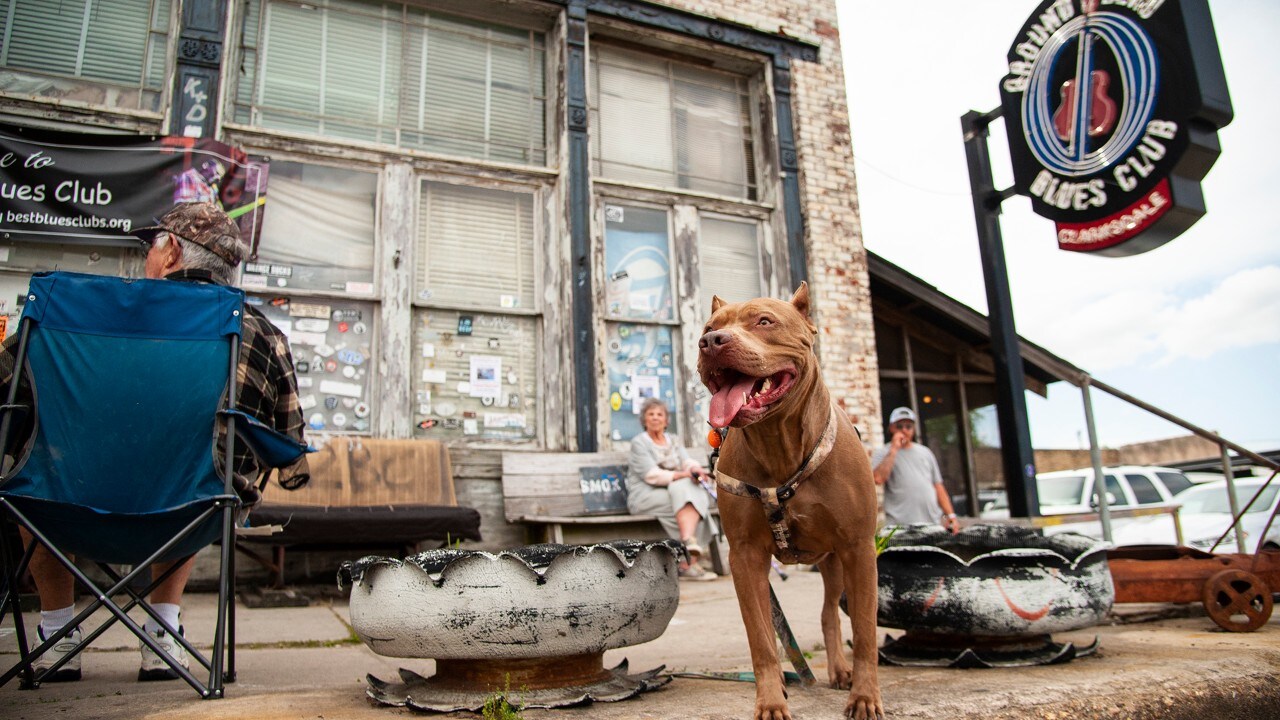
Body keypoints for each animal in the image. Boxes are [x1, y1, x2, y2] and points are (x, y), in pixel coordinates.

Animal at [696, 281, 885, 717]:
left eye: (764, 321)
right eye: (709, 327)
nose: (711, 341)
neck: (778, 443)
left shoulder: (859, 548)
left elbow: (866, 632)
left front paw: (865, 696)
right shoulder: (745, 555)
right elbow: (762, 639)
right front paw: (770, 699)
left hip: (835, 563)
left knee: (831, 614)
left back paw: (840, 670)